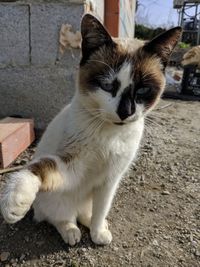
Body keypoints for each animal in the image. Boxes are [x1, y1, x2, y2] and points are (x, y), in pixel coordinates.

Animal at [0, 13, 181, 246]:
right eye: (107, 85)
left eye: (142, 90)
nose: (125, 112)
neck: (110, 135)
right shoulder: (72, 166)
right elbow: (40, 168)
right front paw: (15, 200)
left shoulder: (111, 179)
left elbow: (101, 210)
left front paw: (98, 233)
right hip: (58, 200)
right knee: (61, 217)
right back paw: (71, 232)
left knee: (86, 212)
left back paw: (93, 224)